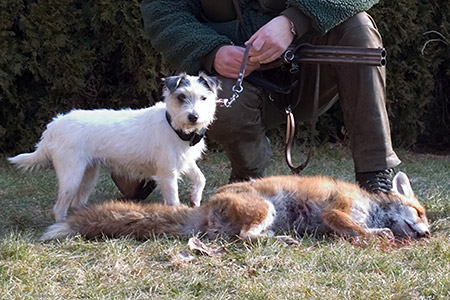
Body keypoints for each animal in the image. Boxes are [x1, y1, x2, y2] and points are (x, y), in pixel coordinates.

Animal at [8, 72, 220, 221]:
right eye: (181, 97)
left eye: (203, 98)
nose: (194, 117)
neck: (175, 126)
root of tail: (54, 124)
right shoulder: (167, 174)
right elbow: (173, 200)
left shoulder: (185, 162)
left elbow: (200, 178)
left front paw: (195, 198)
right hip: (71, 177)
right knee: (60, 207)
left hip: (88, 175)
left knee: (77, 202)